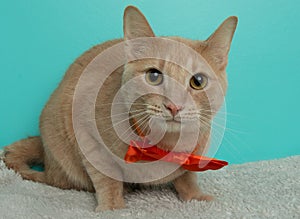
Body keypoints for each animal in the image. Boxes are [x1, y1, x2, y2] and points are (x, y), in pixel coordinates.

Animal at [2, 6, 237, 211]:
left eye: (198, 81)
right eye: (154, 75)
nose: (174, 106)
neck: (164, 146)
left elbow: (187, 175)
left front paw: (195, 196)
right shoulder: (87, 135)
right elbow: (107, 176)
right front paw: (112, 207)